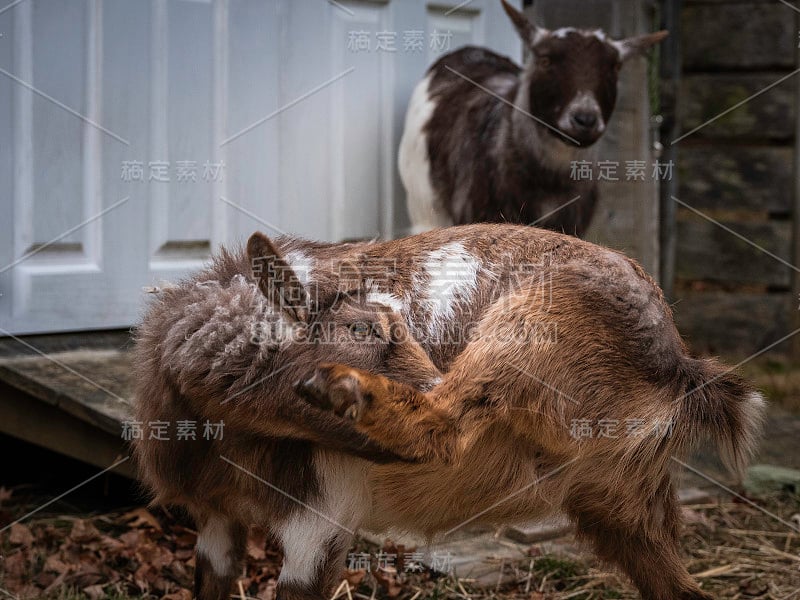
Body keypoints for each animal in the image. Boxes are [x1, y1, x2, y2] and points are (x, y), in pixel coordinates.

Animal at [136, 225, 764, 600]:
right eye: (363, 328)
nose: (434, 375)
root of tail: (674, 361)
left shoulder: (322, 516)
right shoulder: (215, 517)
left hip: (526, 329)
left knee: (446, 430)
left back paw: (349, 389)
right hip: (623, 497)